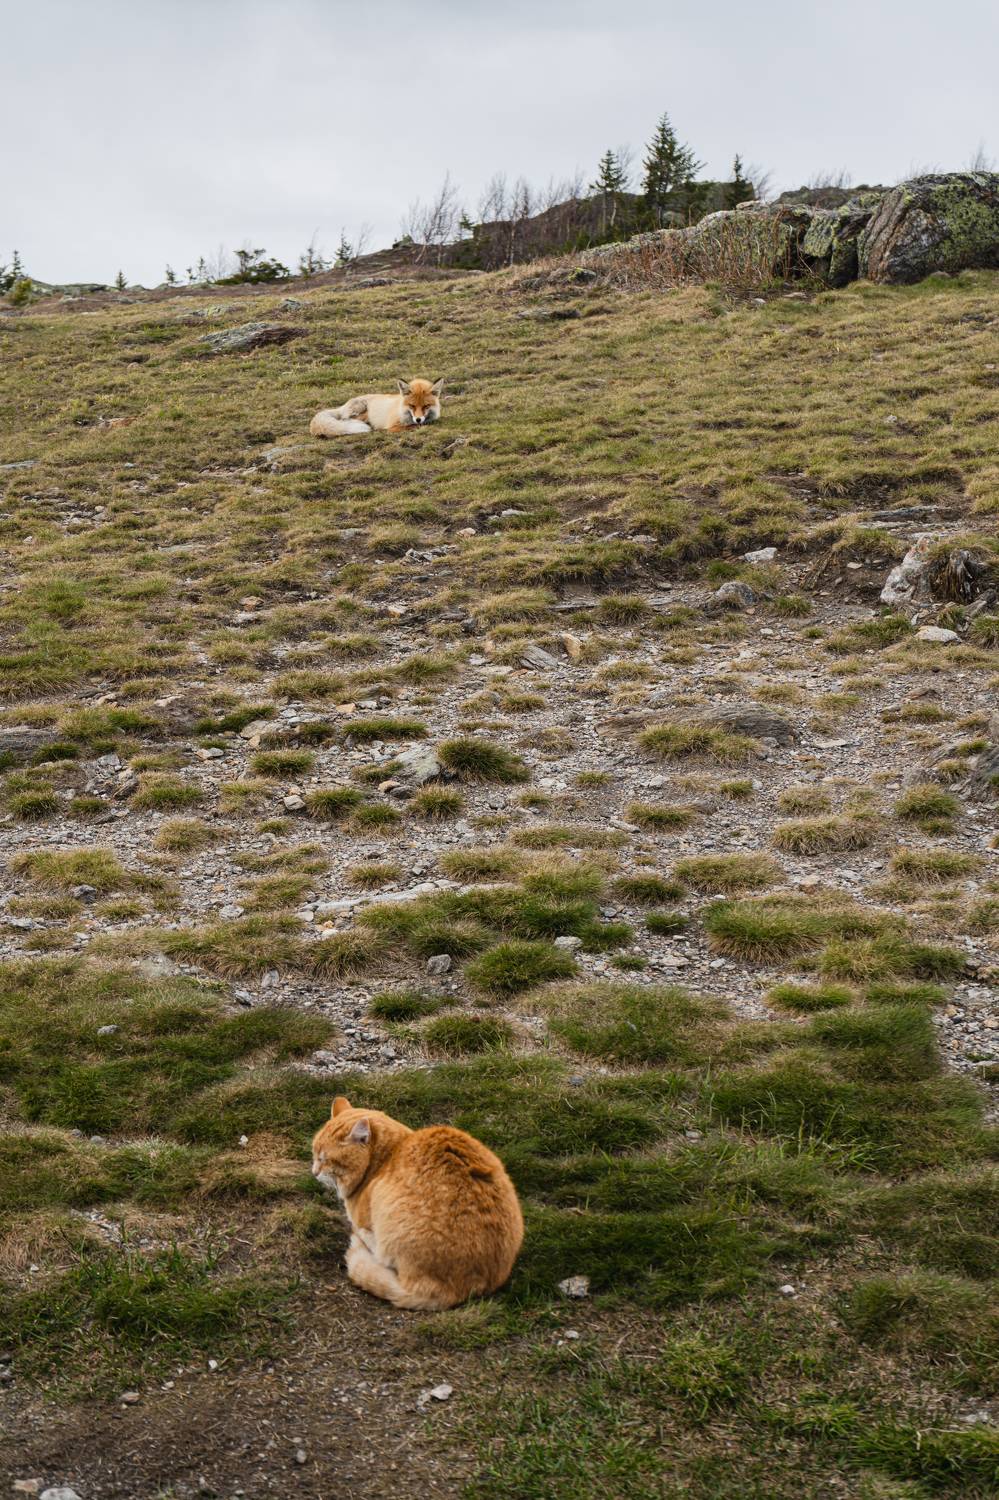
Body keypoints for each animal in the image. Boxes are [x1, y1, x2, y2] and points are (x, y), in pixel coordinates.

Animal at [310, 377, 444, 437]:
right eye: (412, 406)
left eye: (426, 406)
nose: (418, 419)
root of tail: (343, 405)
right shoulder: (392, 427)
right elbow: (413, 427)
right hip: (361, 410)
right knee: (344, 420)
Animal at [311, 1096, 524, 1310]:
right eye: (314, 1154)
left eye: (325, 1159)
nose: (314, 1172)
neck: (387, 1156)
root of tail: (454, 1292)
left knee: (378, 1252)